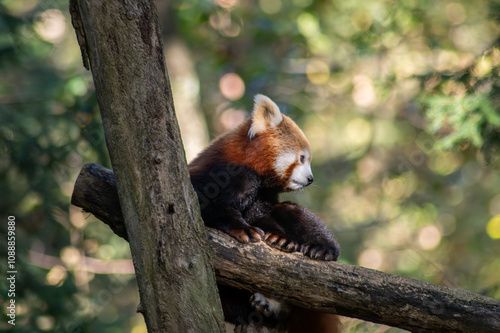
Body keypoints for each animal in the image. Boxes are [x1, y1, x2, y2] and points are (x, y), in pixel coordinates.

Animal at [189, 94, 342, 332]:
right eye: (302, 158)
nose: (310, 179)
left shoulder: (262, 195)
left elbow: (265, 216)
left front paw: (279, 239)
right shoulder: (213, 176)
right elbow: (212, 209)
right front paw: (243, 229)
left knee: (291, 210)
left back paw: (322, 250)